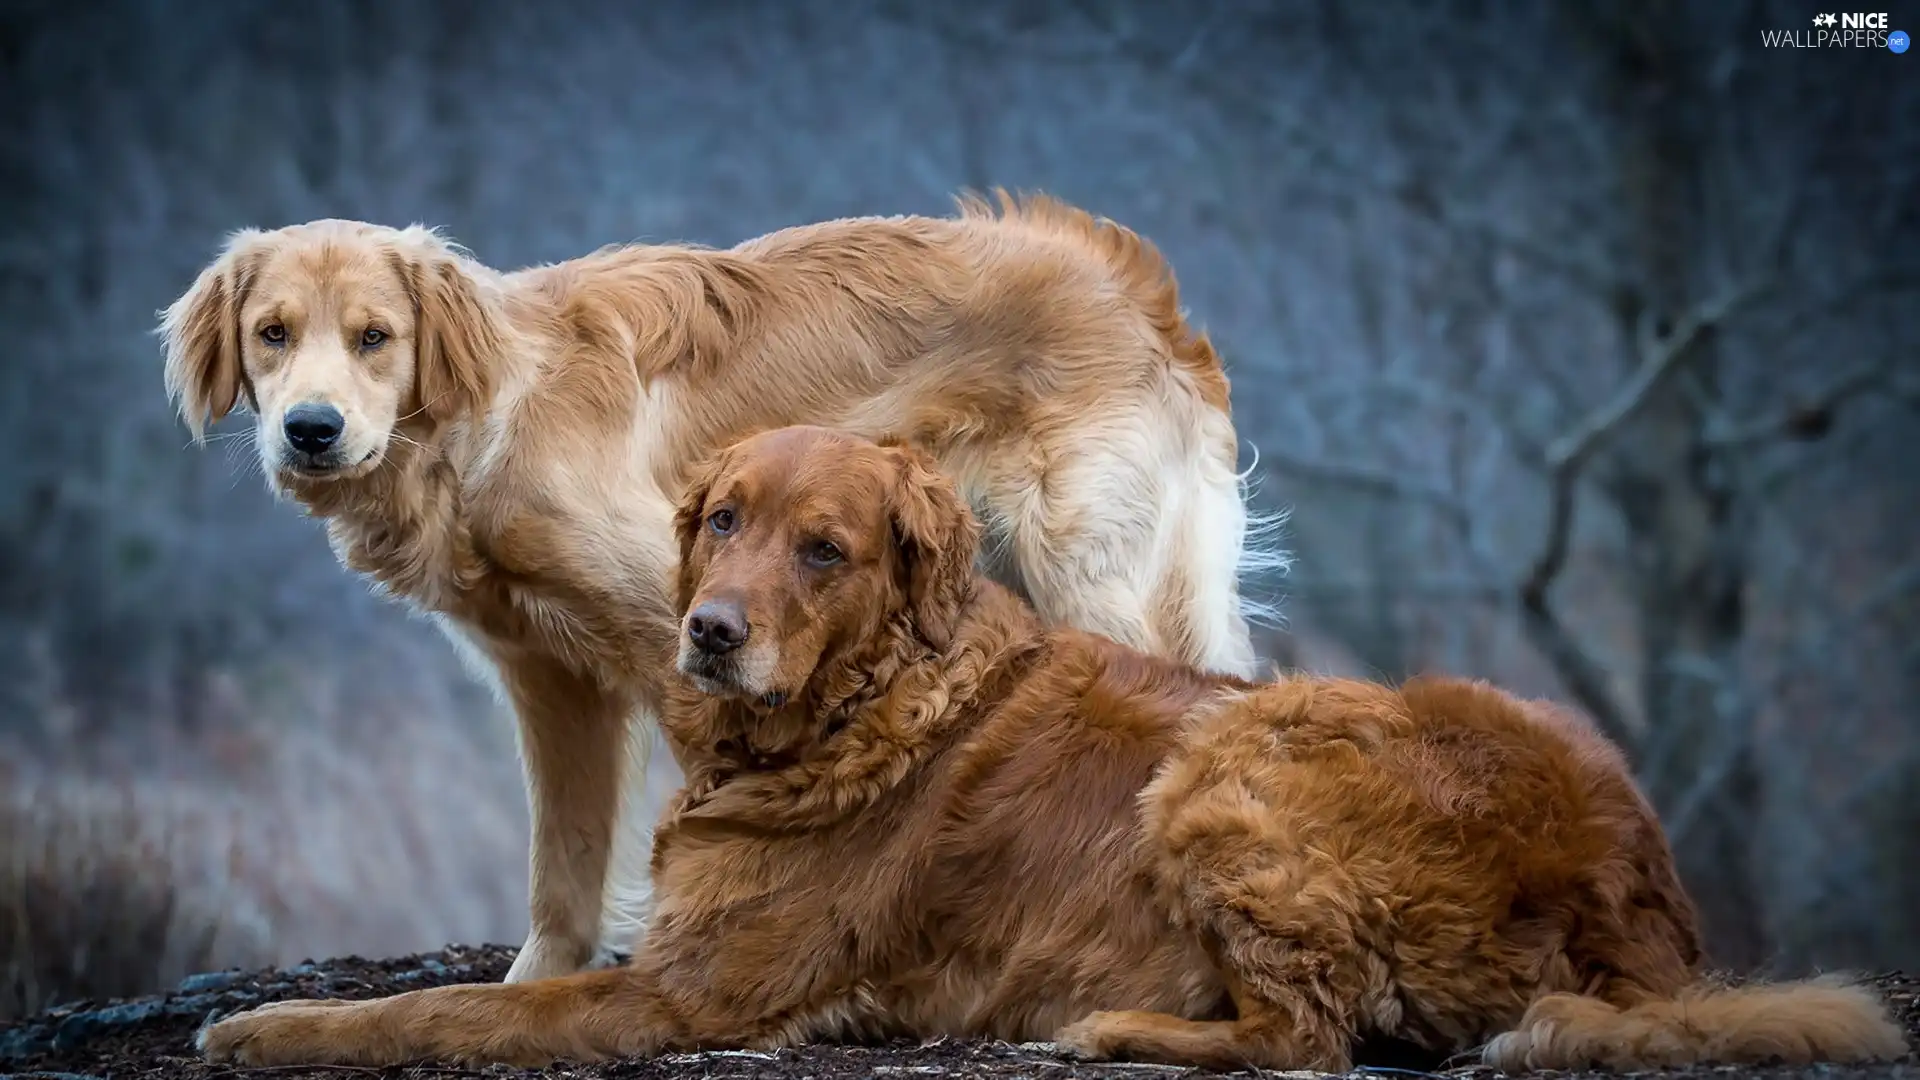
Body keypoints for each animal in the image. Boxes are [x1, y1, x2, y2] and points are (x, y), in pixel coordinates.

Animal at [157, 189, 1282, 980]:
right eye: (272, 333)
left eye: (375, 338)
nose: (310, 429)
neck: (494, 415)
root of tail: (1126, 280)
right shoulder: (552, 681)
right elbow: (562, 867)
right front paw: (537, 982)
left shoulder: (681, 640)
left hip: (1094, 574)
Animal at [191, 426, 1904, 1068]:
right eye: (722, 521)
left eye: (826, 551)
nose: (712, 634)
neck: (860, 708)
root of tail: (1644, 893)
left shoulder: (689, 992)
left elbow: (432, 1011)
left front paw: (271, 1030)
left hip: (1233, 755)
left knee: (1310, 1034)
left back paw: (1119, 1029)